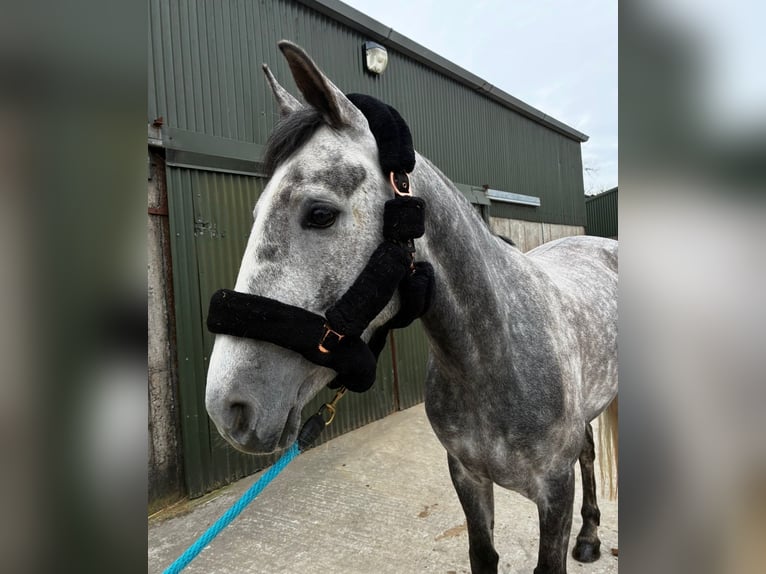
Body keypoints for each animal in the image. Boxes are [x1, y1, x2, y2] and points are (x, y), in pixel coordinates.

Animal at [205, 41, 618, 574]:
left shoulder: (554, 490)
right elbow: (483, 554)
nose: (227, 408)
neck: (495, 356)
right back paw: (589, 535)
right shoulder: (466, 476)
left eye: (320, 213)